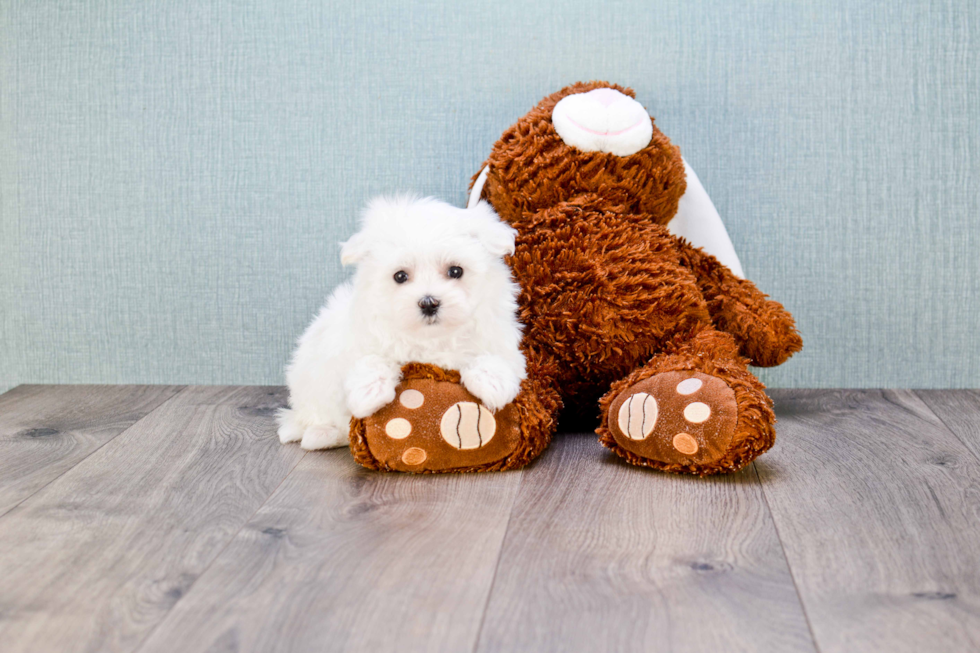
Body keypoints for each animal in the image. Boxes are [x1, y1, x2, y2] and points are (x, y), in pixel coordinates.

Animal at [280, 195, 524, 448]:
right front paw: (369, 391)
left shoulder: (500, 340)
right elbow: (372, 358)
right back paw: (320, 434)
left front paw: (492, 381)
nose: (428, 303)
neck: (431, 338)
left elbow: (491, 356)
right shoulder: (355, 341)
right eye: (400, 276)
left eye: (456, 271)